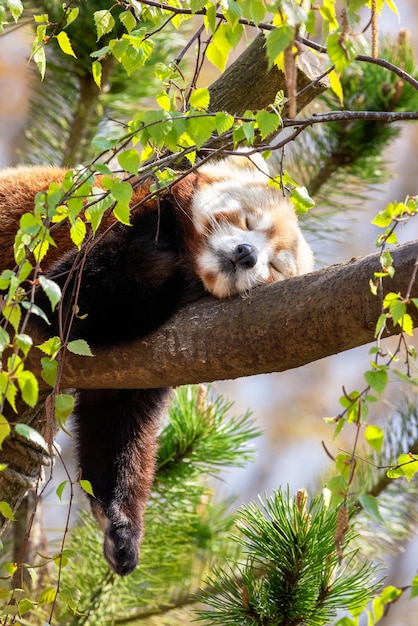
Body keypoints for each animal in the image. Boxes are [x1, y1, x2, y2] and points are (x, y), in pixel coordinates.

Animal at [0, 154, 314, 572]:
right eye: (248, 222)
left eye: (276, 266)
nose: (247, 254)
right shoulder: (121, 217)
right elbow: (60, 298)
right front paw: (177, 277)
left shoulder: (141, 365)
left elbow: (118, 422)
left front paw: (120, 526)